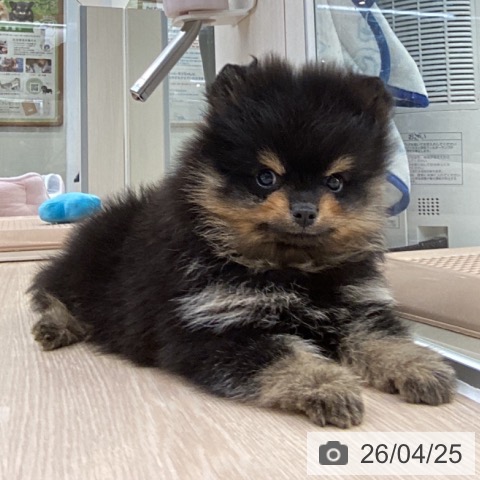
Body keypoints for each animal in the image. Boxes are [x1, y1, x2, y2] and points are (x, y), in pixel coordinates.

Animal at [30, 57, 455, 428]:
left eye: (335, 182)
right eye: (266, 177)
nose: (305, 210)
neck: (291, 269)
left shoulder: (355, 305)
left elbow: (380, 336)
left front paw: (416, 365)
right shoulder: (211, 325)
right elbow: (282, 354)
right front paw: (326, 385)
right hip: (88, 268)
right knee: (52, 288)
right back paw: (57, 325)